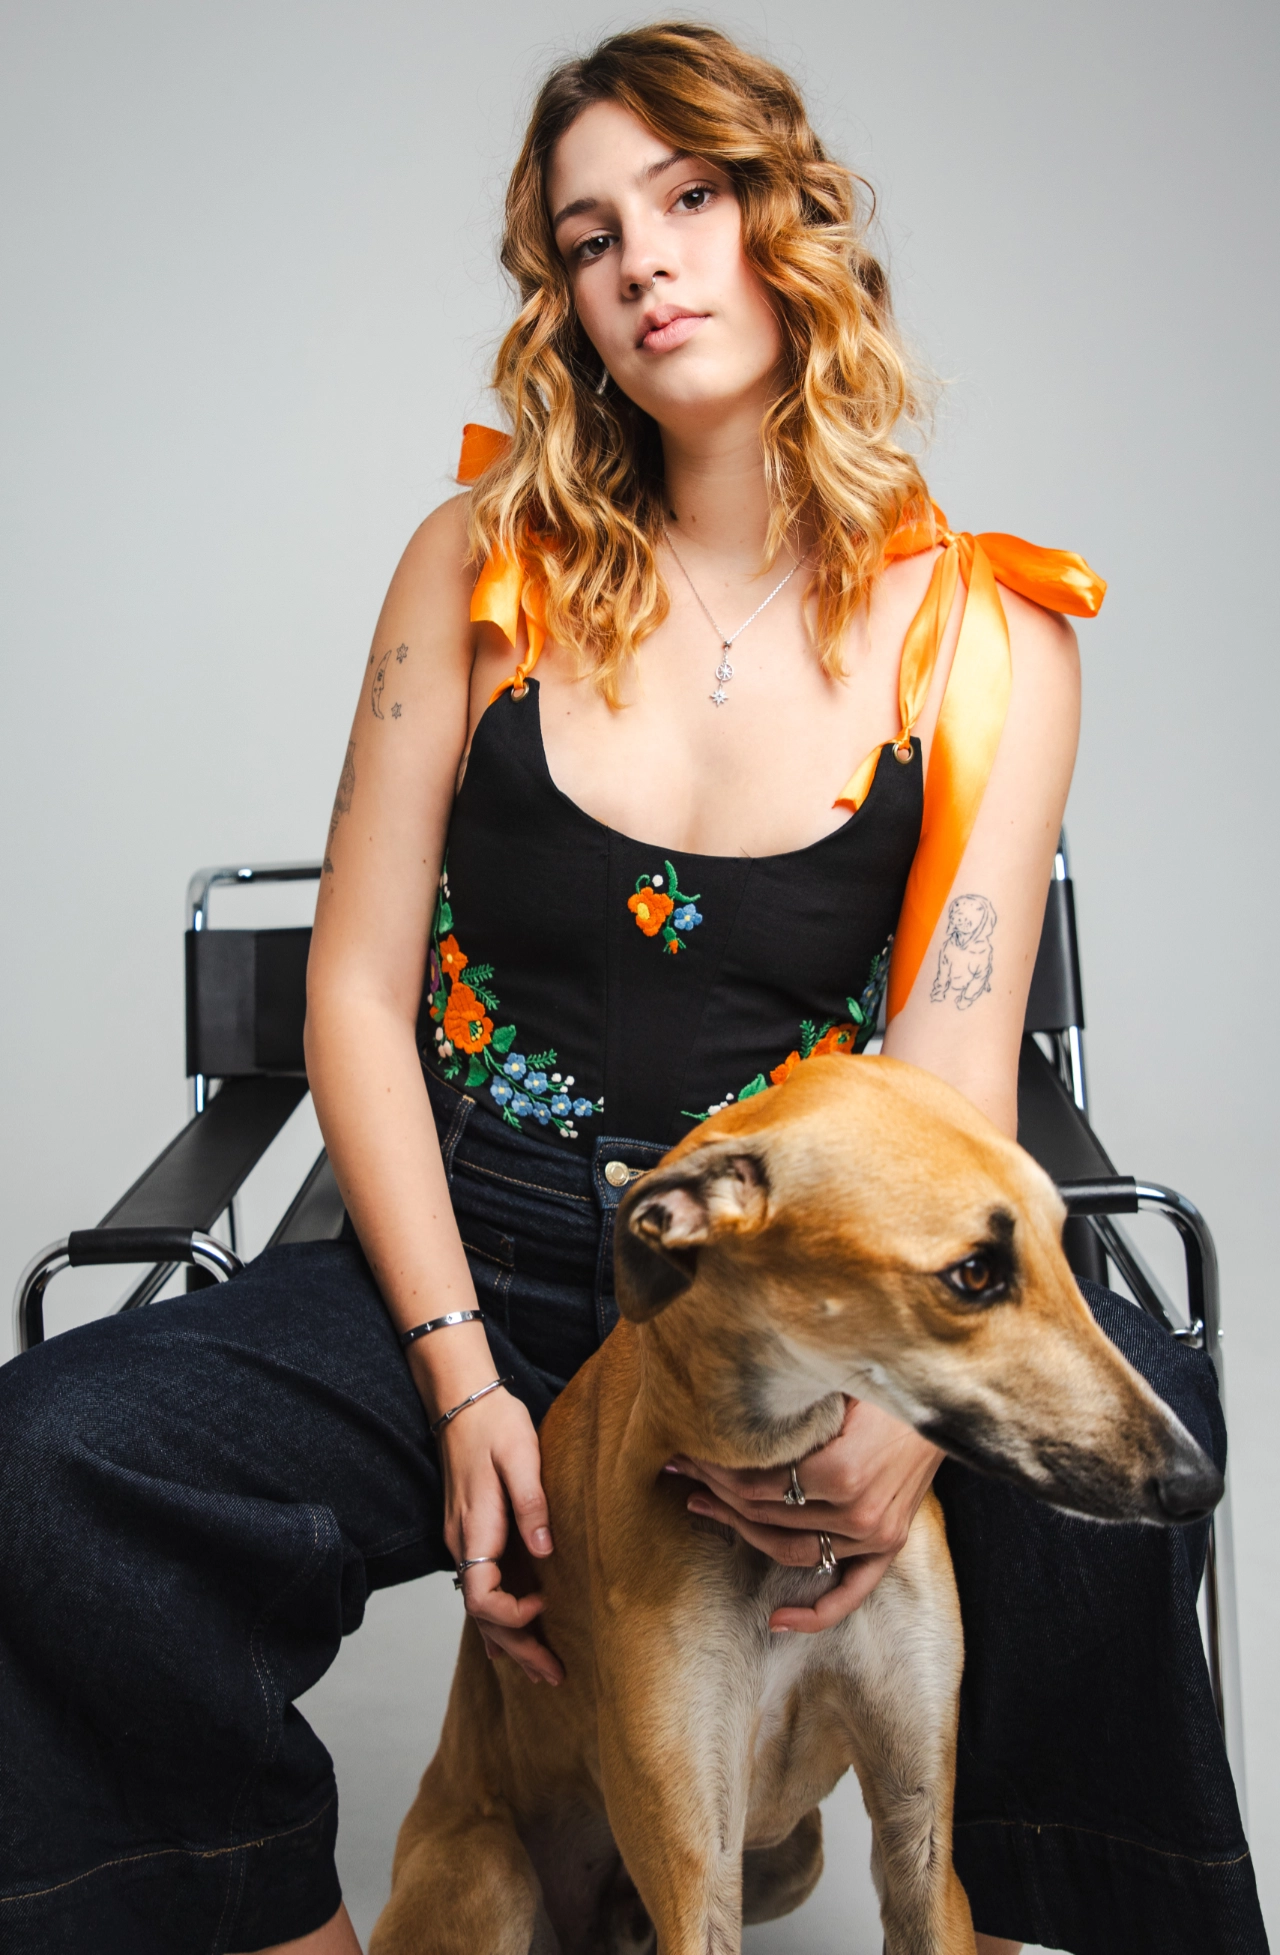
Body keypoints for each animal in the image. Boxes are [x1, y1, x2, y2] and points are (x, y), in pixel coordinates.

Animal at [371, 1054, 1221, 1955]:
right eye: (975, 1273)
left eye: (1062, 1242)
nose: (1198, 1480)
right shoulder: (695, 1865)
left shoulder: (919, 1828)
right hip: (491, 1873)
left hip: (793, 1854)